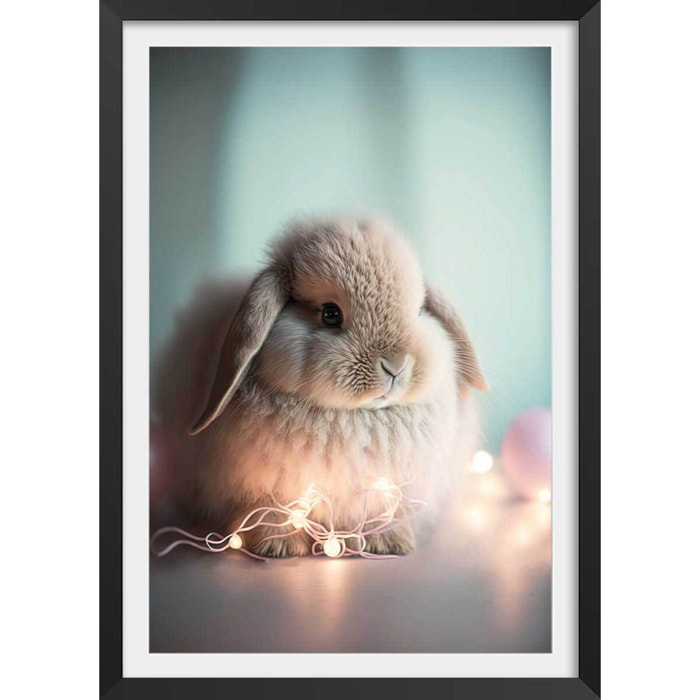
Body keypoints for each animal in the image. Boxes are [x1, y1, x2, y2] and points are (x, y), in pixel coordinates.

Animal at [152, 216, 489, 557]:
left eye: (419, 311)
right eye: (330, 314)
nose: (395, 366)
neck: (353, 417)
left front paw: (389, 542)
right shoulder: (266, 486)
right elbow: (272, 509)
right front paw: (278, 546)